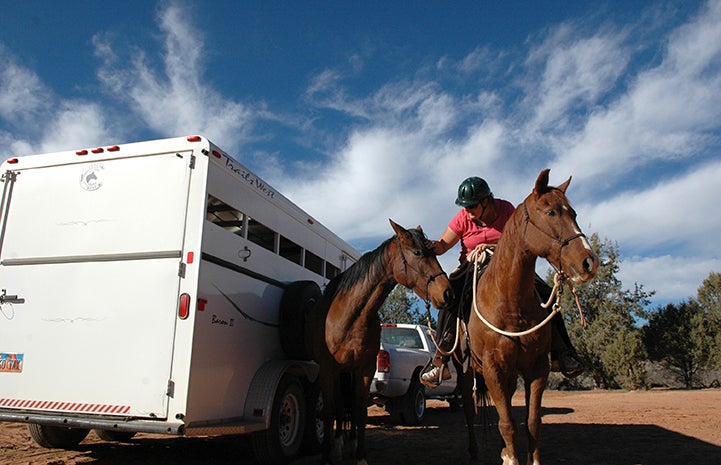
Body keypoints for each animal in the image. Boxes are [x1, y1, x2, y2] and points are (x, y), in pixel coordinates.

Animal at [306, 218, 452, 464]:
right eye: (417, 252)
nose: (447, 293)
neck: (350, 316)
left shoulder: (364, 369)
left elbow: (359, 411)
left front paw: (360, 456)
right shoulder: (328, 369)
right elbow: (329, 410)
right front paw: (327, 455)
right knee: (339, 406)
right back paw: (338, 444)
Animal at [458, 170, 600, 464]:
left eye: (574, 213)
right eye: (550, 212)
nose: (589, 261)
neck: (511, 305)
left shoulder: (537, 368)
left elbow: (532, 422)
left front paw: (520, 455)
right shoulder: (493, 370)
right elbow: (507, 423)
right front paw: (511, 457)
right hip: (466, 374)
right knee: (468, 411)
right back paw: (475, 452)